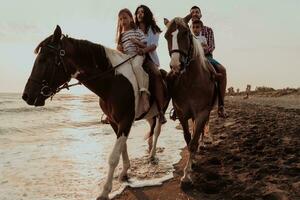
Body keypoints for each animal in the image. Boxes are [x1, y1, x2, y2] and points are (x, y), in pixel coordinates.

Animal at [21, 25, 169, 199]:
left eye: (44, 59)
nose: (26, 96)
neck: (113, 82)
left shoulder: (126, 120)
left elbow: (113, 157)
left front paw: (105, 191)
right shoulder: (114, 121)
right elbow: (122, 148)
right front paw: (124, 173)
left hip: (160, 111)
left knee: (157, 130)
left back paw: (152, 155)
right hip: (148, 115)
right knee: (152, 128)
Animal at [165, 16, 217, 189]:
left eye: (185, 34)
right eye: (166, 36)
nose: (176, 65)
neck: (190, 81)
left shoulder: (201, 113)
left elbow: (193, 142)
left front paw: (187, 176)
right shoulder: (182, 114)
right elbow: (188, 139)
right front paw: (191, 164)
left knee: (200, 132)